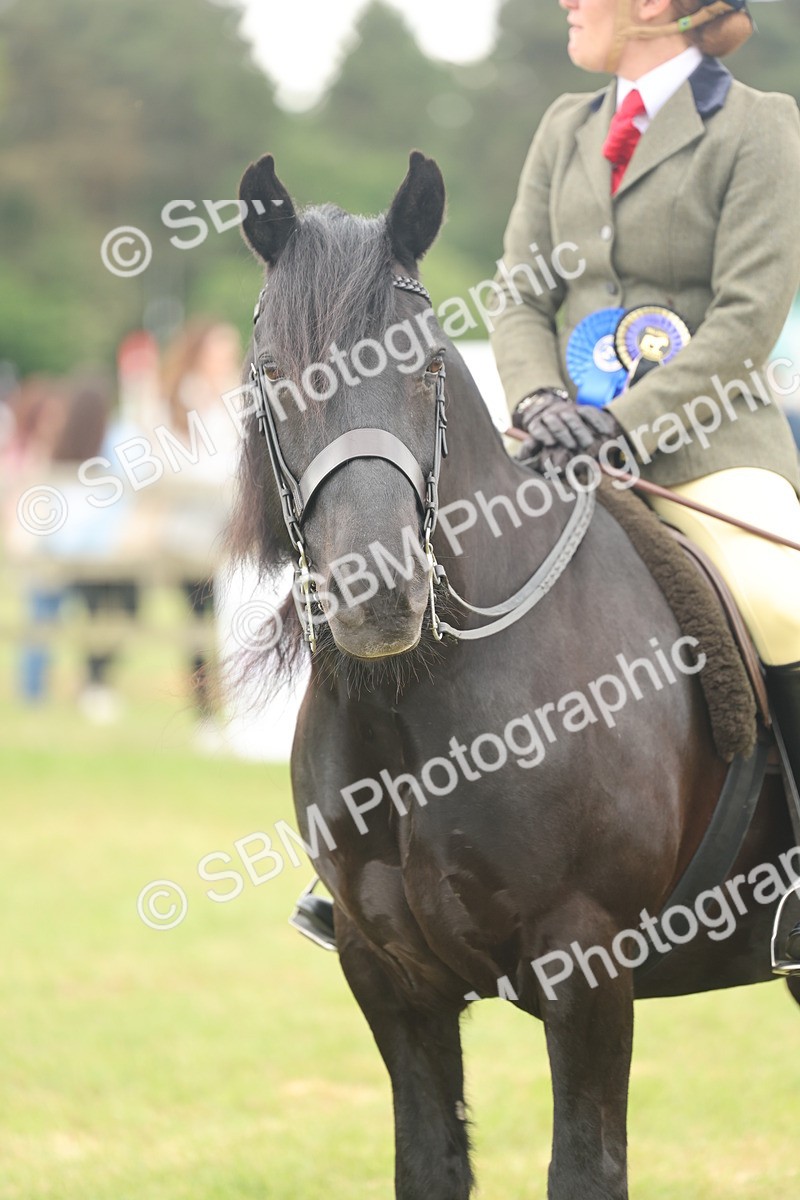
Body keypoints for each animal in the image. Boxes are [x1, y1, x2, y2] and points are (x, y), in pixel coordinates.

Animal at [231, 150, 800, 1199]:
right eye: (275, 374)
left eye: (423, 367)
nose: (378, 597)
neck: (418, 706)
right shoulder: (390, 979)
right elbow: (428, 1164)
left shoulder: (588, 965)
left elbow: (585, 1169)